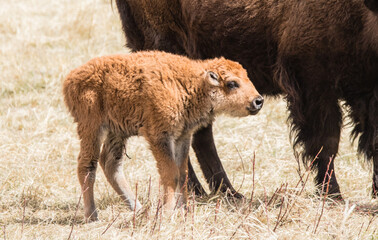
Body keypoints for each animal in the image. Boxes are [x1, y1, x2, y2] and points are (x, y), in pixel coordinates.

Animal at [62, 50, 262, 221]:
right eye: (232, 83)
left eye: (247, 77)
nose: (258, 101)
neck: (192, 83)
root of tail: (71, 78)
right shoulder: (160, 137)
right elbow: (170, 173)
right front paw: (167, 213)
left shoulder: (183, 137)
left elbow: (182, 173)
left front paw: (184, 210)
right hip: (92, 128)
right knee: (87, 165)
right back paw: (92, 215)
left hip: (117, 131)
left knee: (110, 164)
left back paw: (138, 208)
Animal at [115, 0, 378, 199]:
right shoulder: (313, 83)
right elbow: (326, 143)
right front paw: (333, 196)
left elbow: (371, 141)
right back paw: (203, 192)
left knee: (199, 134)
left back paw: (226, 193)